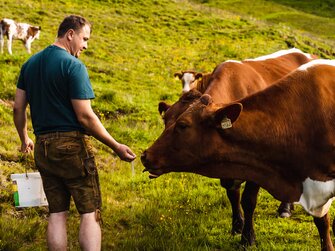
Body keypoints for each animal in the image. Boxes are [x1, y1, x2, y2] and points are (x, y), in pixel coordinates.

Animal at [142, 59, 335, 250]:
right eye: (165, 120)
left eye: (182, 125)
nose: (145, 155)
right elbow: (232, 194)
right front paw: (237, 226)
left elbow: (248, 201)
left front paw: (247, 237)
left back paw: (285, 208)